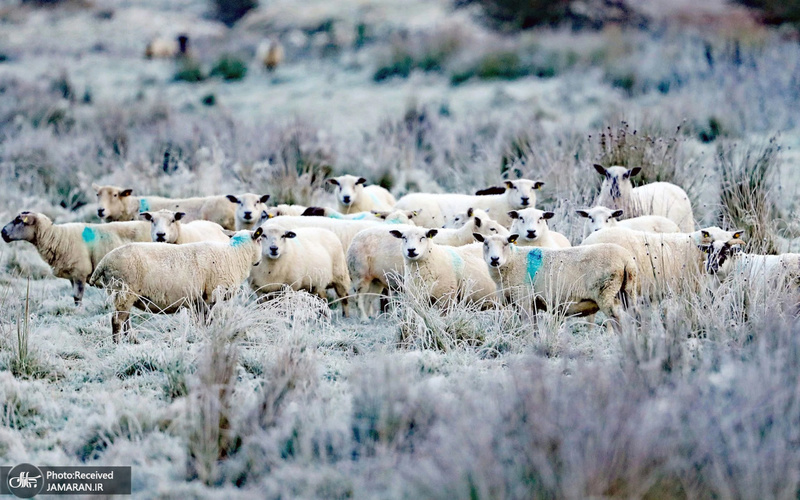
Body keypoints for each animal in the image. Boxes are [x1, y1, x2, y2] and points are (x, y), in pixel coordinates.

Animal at [0, 211, 152, 304]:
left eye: (19, 220)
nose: (2, 232)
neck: (57, 237)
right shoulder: (72, 276)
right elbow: (74, 298)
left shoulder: (80, 273)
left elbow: (78, 298)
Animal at [88, 229, 262, 342]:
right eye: (261, 239)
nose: (259, 262)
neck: (235, 255)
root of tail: (104, 262)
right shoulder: (210, 296)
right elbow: (206, 321)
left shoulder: (199, 300)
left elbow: (200, 321)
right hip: (124, 291)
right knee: (117, 321)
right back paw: (117, 344)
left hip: (122, 294)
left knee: (125, 320)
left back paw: (133, 340)